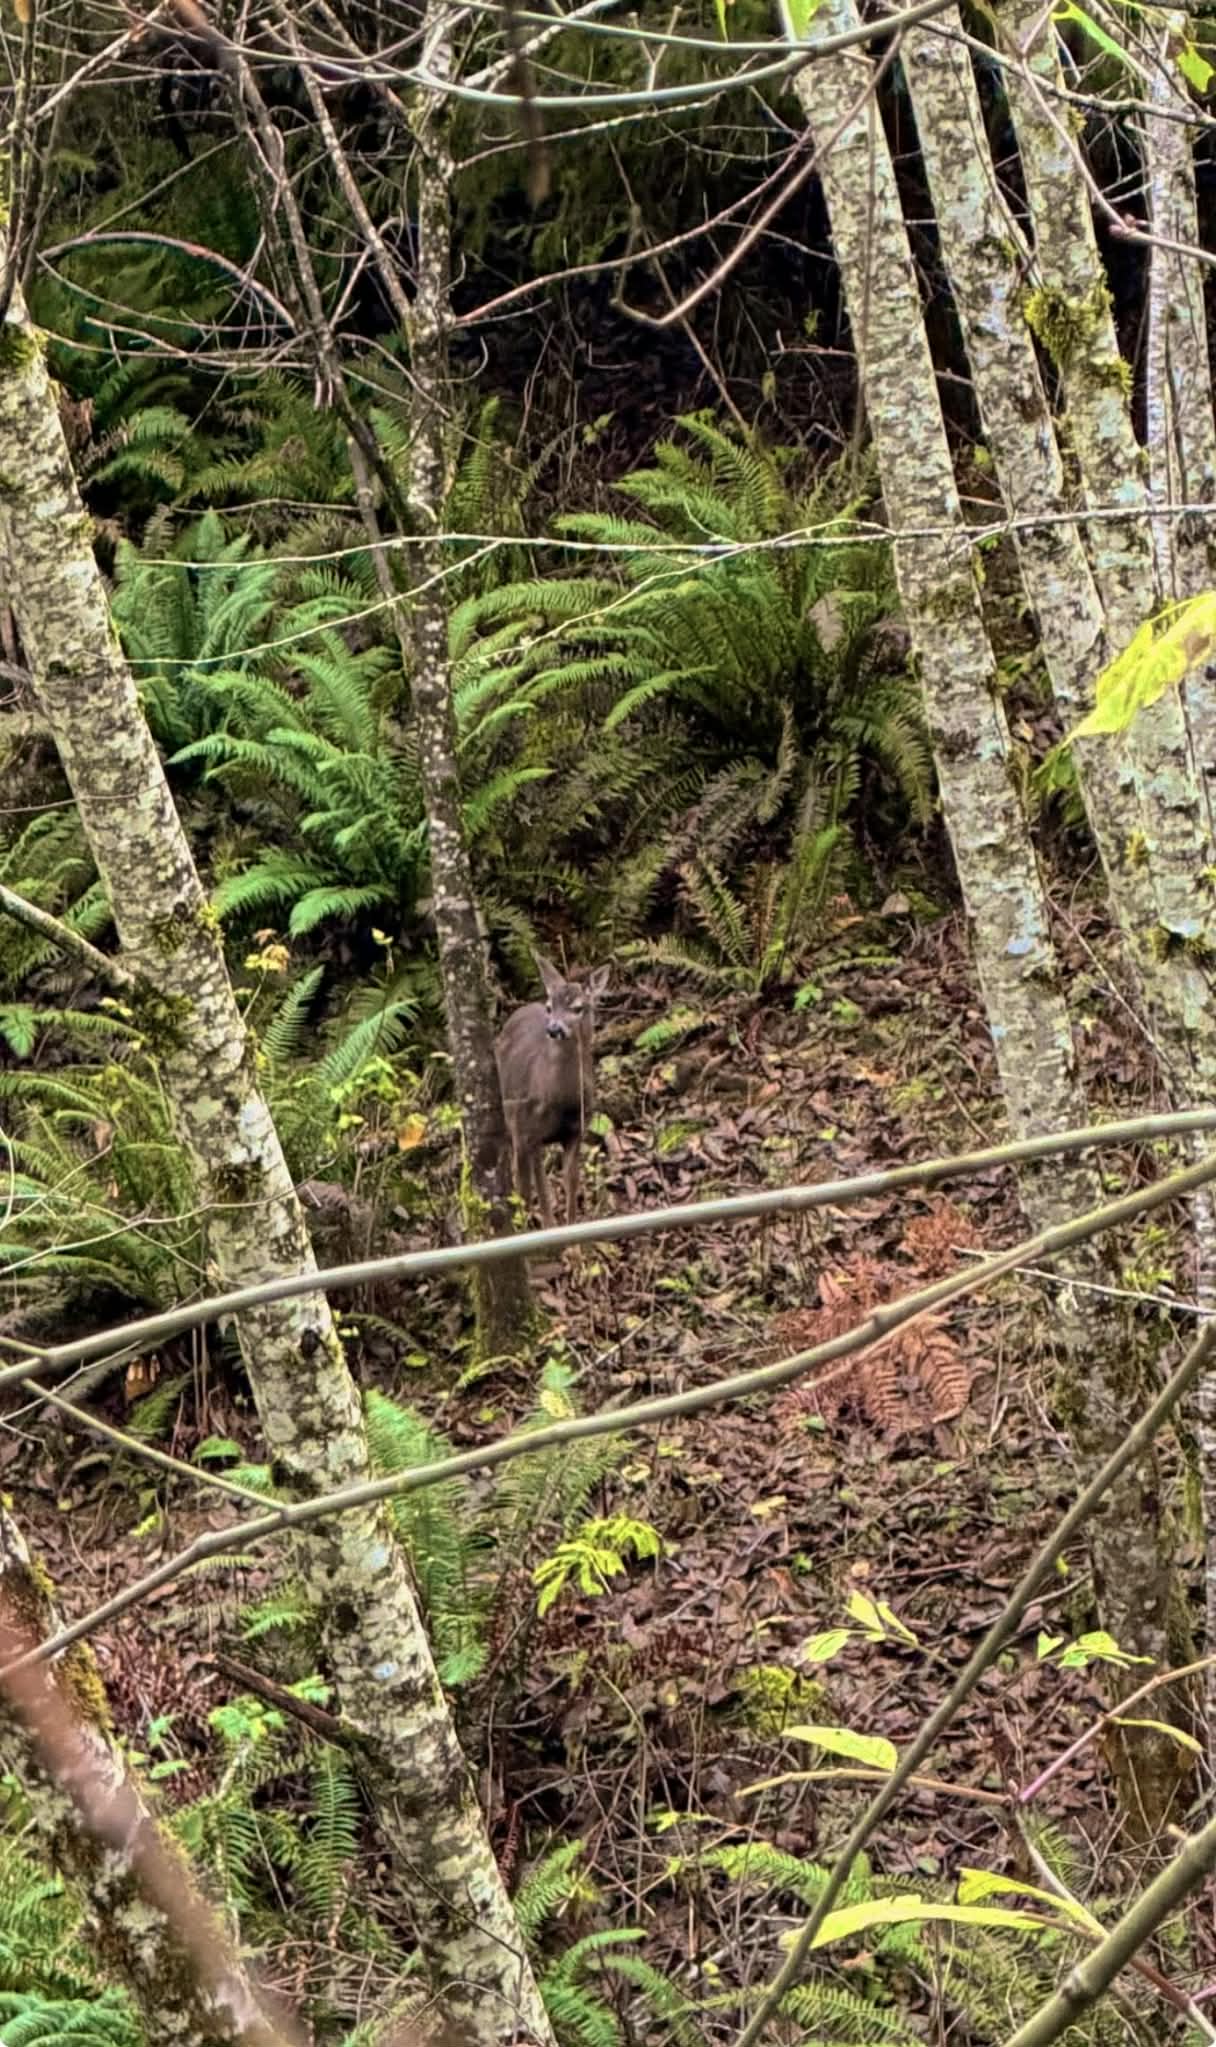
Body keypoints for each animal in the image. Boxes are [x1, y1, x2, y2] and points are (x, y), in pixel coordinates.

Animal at [495, 954, 610, 1231]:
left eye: (578, 1008)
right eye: (549, 1007)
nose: (554, 1029)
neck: (559, 1099)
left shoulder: (576, 1131)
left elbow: (571, 1181)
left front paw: (572, 1233)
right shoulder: (524, 1130)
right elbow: (530, 1189)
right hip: (514, 1120)